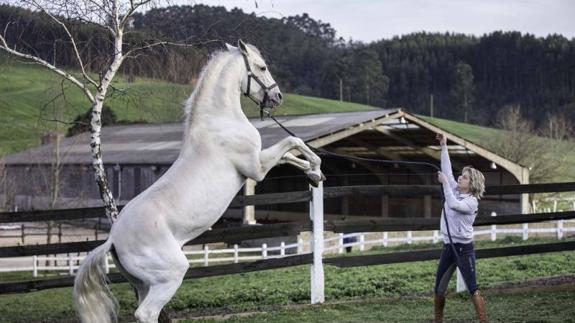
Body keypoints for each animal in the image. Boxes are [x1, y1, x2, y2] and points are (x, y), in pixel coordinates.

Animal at [73, 40, 324, 323]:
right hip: (169, 275)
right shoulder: (256, 168)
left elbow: (290, 155)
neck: (220, 120)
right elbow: (293, 142)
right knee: (146, 313)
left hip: (143, 284)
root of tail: (113, 240)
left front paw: (315, 175)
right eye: (262, 67)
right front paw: (316, 168)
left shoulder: (259, 162)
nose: (277, 97)